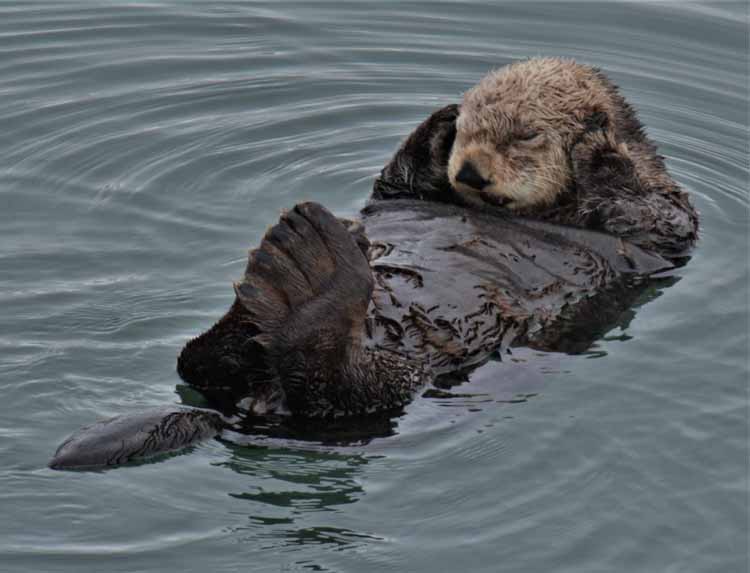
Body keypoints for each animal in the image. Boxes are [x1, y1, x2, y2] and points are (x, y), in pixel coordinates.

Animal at [50, 58, 697, 469]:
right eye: (471, 129)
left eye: (526, 136)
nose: (469, 170)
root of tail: (254, 408)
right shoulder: (402, 189)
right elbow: (397, 180)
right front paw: (437, 124)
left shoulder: (667, 226)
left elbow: (646, 207)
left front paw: (599, 147)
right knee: (203, 361)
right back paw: (296, 272)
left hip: (394, 383)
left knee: (338, 391)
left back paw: (309, 277)